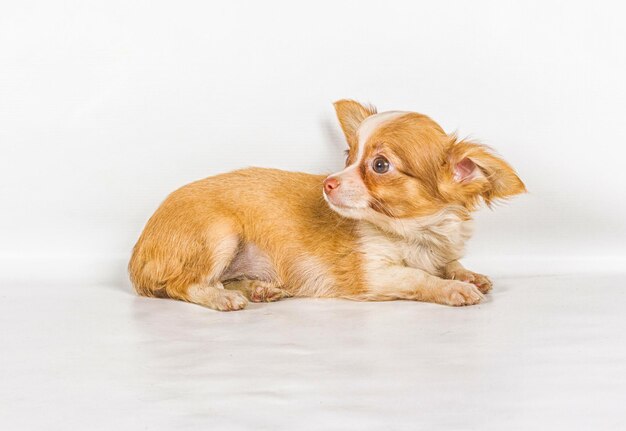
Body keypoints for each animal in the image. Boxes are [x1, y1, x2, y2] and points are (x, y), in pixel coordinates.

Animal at [129, 100, 524, 310]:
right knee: (184, 284)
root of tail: (138, 252)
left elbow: (450, 263)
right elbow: (418, 276)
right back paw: (220, 298)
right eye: (349, 157)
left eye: (380, 165)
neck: (416, 234)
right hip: (219, 234)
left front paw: (467, 274)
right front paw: (452, 288)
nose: (328, 182)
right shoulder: (373, 274)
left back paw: (258, 288)